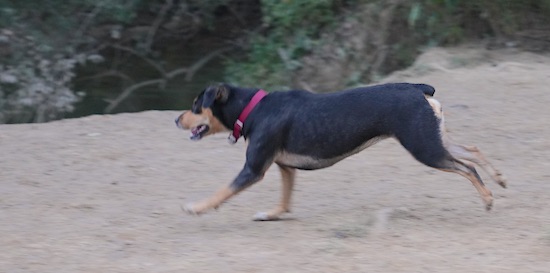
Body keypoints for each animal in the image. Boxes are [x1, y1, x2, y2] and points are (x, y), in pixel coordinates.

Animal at [177, 82, 508, 220]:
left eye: (196, 106)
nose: (176, 119)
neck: (254, 108)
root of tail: (417, 89)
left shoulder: (253, 170)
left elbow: (222, 191)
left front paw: (196, 207)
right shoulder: (285, 168)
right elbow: (284, 201)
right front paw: (272, 215)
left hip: (425, 149)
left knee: (467, 168)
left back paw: (488, 198)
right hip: (432, 139)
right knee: (472, 150)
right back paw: (500, 178)